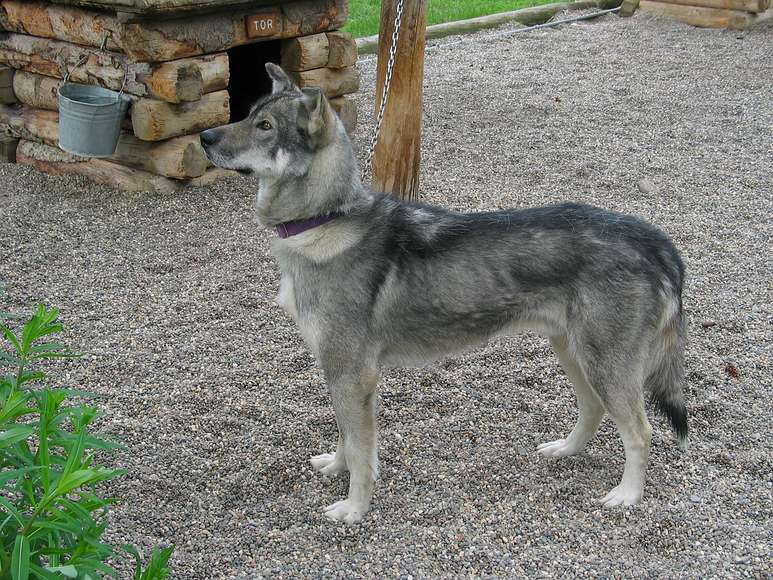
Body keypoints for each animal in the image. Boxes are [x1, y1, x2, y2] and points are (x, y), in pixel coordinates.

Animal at [201, 63, 688, 524]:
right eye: (248, 114)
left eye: (265, 126)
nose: (205, 137)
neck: (326, 219)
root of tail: (653, 240)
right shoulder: (342, 375)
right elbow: (347, 439)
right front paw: (337, 470)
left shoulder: (351, 374)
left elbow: (360, 451)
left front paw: (355, 509)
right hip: (575, 353)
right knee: (593, 409)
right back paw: (566, 451)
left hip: (604, 365)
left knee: (640, 432)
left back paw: (628, 495)